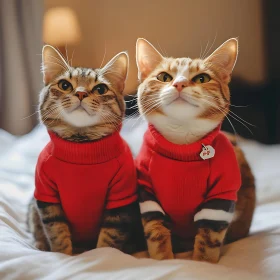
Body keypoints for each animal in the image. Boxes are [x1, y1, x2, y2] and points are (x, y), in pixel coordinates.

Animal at [27, 44, 143, 255]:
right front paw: (63, 255)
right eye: (65, 85)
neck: (82, 148)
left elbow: (108, 240)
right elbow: (57, 234)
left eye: (100, 89)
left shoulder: (121, 198)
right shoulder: (47, 197)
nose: (80, 93)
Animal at [135, 37, 255, 262]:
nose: (179, 84)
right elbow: (156, 232)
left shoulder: (221, 196)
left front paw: (202, 262)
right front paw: (163, 260)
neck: (181, 144)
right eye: (164, 77)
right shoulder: (147, 192)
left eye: (202, 78)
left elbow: (209, 239)